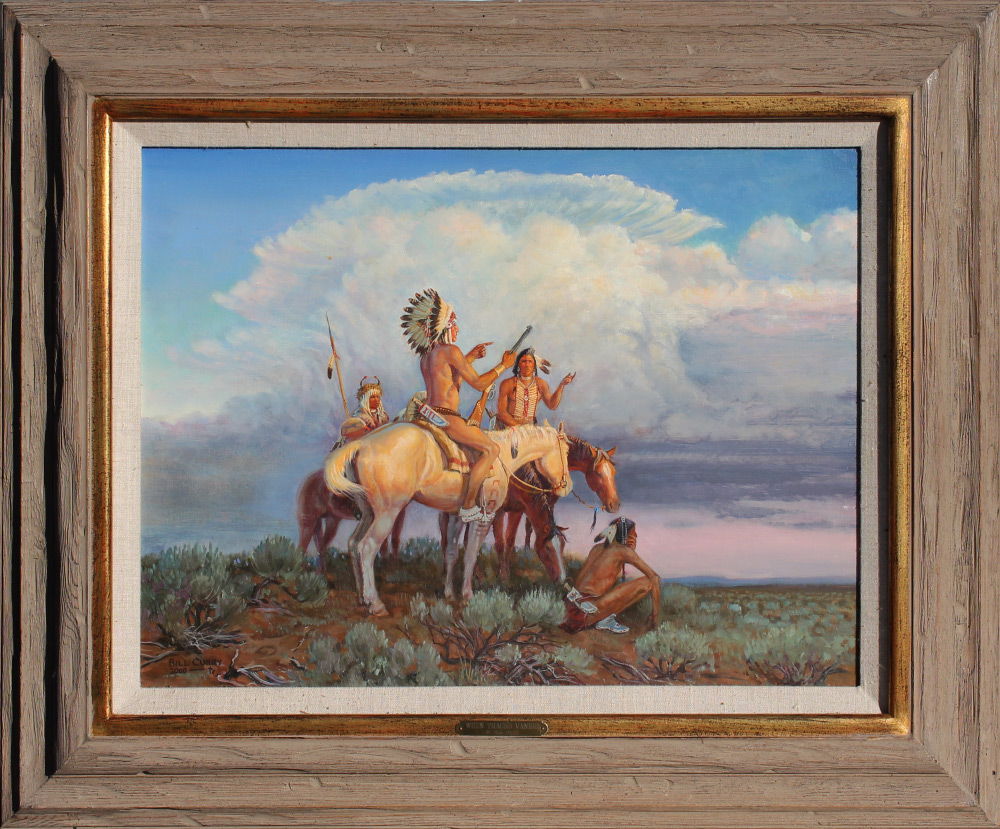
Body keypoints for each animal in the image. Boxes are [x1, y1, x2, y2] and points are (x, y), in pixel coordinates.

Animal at [324, 421, 572, 615]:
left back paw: (361, 596)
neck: (504, 456)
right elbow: (471, 554)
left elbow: (451, 553)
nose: (566, 486)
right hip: (387, 513)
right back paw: (375, 603)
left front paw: (450, 593)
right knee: (367, 547)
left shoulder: (455, 516)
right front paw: (468, 594)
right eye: (567, 452)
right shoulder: (486, 517)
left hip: (368, 512)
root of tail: (362, 443)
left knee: (353, 543)